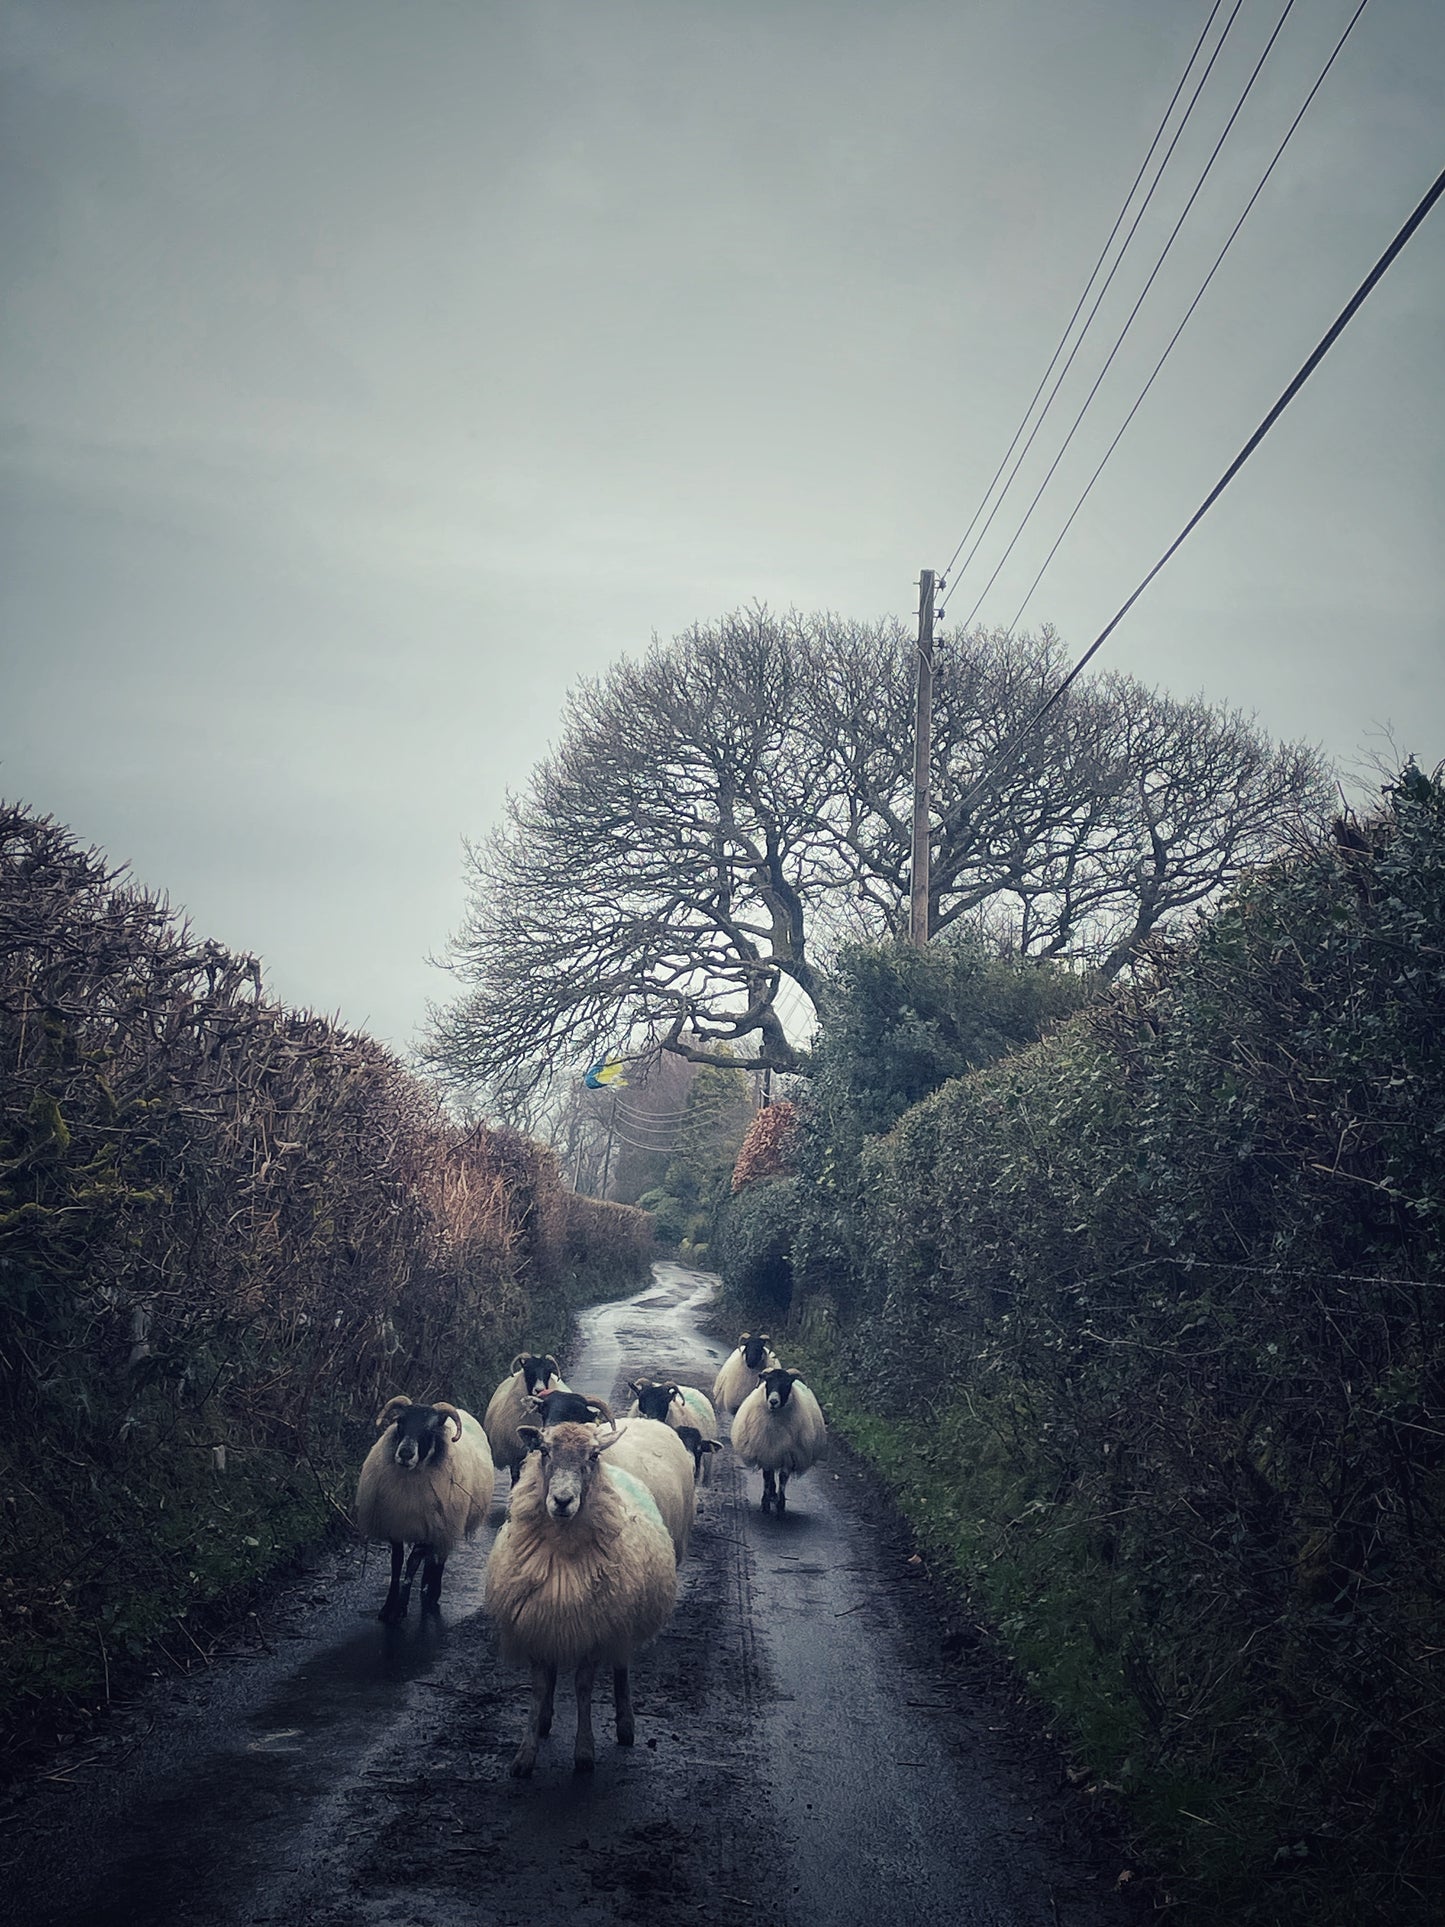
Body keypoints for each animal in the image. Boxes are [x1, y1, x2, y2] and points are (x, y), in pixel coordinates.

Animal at [356, 1395, 497, 1618]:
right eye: (400, 1422)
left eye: (430, 1429)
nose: (405, 1453)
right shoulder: (397, 1524)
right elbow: (397, 1564)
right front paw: (388, 1608)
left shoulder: (430, 1525)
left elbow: (412, 1564)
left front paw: (401, 1608)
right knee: (433, 1555)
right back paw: (425, 1586)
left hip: (447, 1521)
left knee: (440, 1555)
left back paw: (432, 1592)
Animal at [487, 1418, 678, 1772]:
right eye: (544, 1451)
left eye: (593, 1456)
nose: (562, 1501)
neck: (563, 1548)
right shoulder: (537, 1622)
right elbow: (539, 1687)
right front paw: (525, 1754)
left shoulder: (594, 1630)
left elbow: (583, 1687)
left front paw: (585, 1753)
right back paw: (546, 1720)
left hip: (620, 1622)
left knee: (620, 1665)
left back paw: (625, 1725)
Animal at [735, 1372, 824, 1518]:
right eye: (768, 1381)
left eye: (787, 1383)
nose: (773, 1401)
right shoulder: (765, 1451)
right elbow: (767, 1477)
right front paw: (765, 1504)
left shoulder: (789, 1455)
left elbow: (783, 1478)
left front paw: (780, 1506)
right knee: (770, 1474)